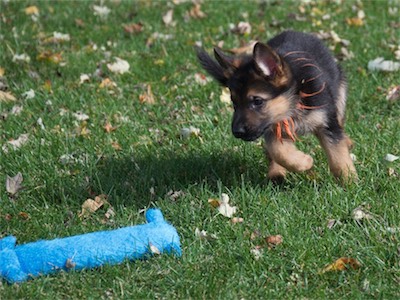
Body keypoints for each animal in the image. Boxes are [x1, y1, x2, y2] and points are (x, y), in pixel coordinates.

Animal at [198, 30, 358, 183]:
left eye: (257, 101)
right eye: (234, 103)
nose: (237, 132)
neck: (293, 102)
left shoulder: (327, 122)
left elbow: (337, 153)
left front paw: (348, 181)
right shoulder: (272, 128)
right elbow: (278, 151)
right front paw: (304, 162)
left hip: (340, 93)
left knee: (340, 122)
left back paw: (347, 142)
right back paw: (276, 174)